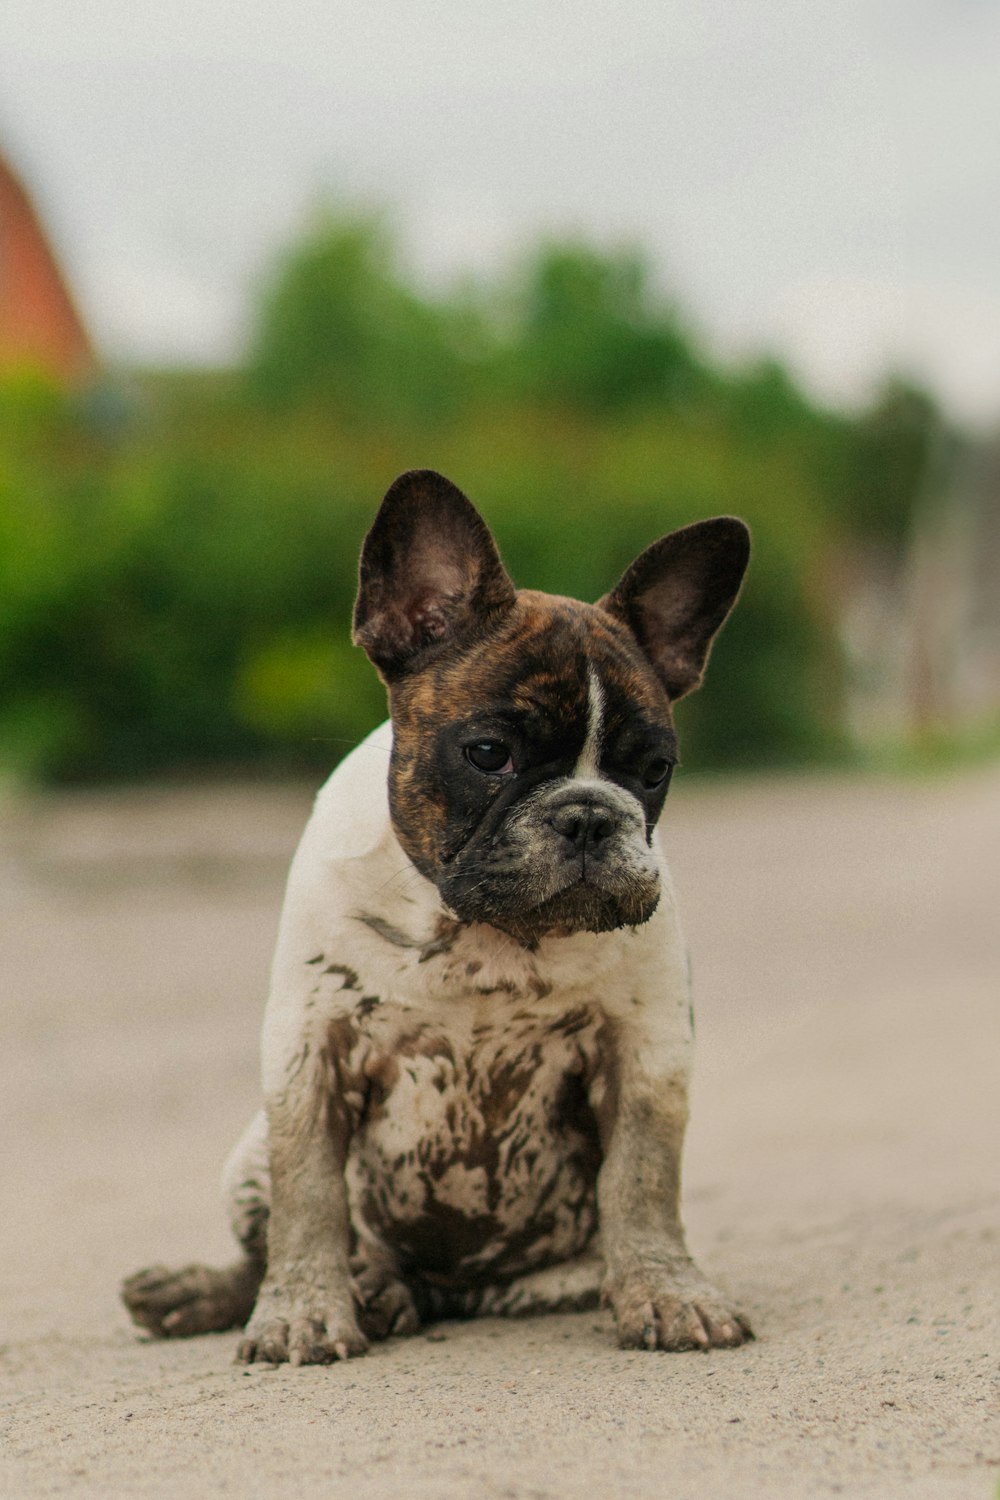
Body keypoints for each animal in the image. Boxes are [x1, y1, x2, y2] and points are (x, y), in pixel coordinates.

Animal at [121, 474, 755, 1368]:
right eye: (489, 753)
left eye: (655, 769)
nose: (591, 814)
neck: (482, 931)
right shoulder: (310, 1054)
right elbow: (308, 1198)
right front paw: (301, 1312)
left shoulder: (645, 1053)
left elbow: (643, 1183)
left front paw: (668, 1293)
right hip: (244, 1157)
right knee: (269, 1246)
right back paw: (205, 1292)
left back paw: (387, 1296)